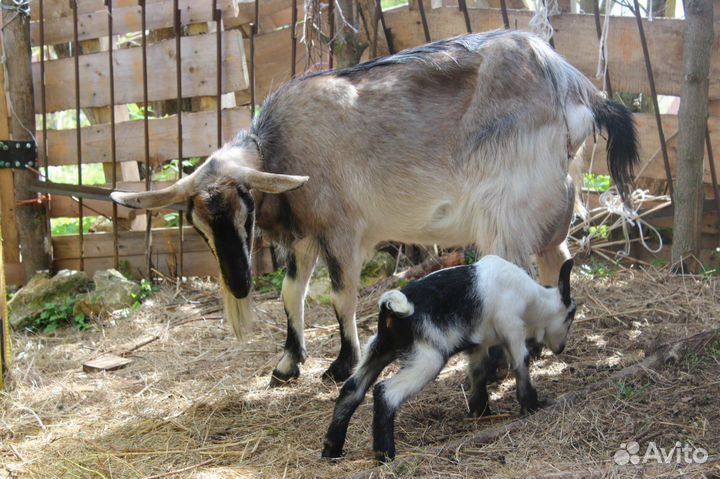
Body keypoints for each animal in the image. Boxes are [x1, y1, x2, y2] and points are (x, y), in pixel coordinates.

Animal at [109, 30, 640, 386]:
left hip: (508, 210)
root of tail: (576, 90)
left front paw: (341, 364)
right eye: (197, 225)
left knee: (518, 271)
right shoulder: (305, 235)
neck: (281, 148)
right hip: (549, 208)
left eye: (246, 211)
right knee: (557, 263)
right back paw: (545, 345)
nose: (238, 284)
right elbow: (291, 293)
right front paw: (288, 363)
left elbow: (340, 296)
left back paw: (501, 365)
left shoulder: (342, 232)